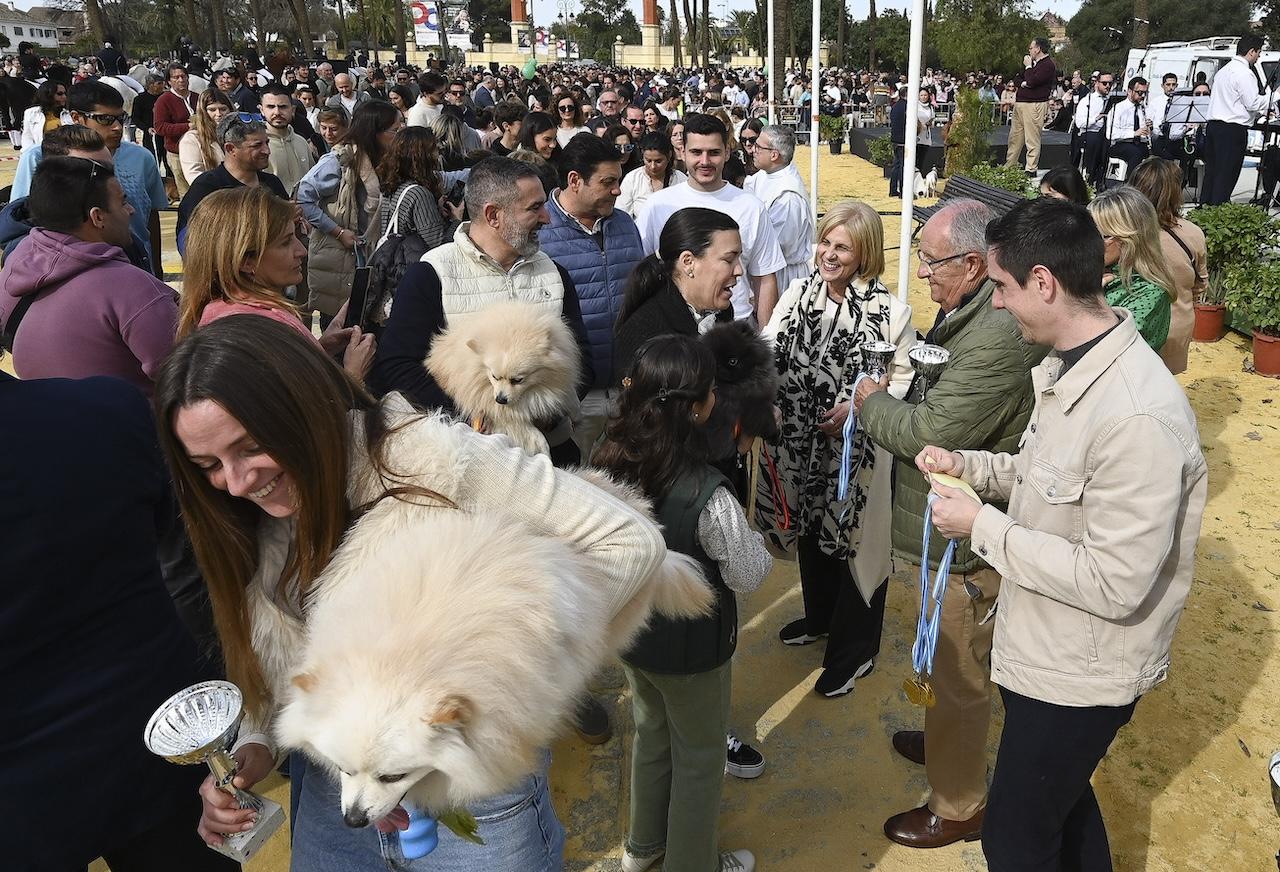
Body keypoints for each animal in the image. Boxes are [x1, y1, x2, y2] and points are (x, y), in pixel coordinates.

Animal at [424, 299, 581, 455]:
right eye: (494, 376)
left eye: (518, 380)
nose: (500, 399)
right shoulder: (490, 407)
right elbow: (528, 431)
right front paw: (544, 451)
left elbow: (568, 394)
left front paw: (575, 412)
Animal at [701, 317, 778, 455]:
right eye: (713, 362)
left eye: (733, 361)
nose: (719, 367)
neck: (737, 388)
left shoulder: (758, 405)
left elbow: (766, 421)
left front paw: (773, 436)